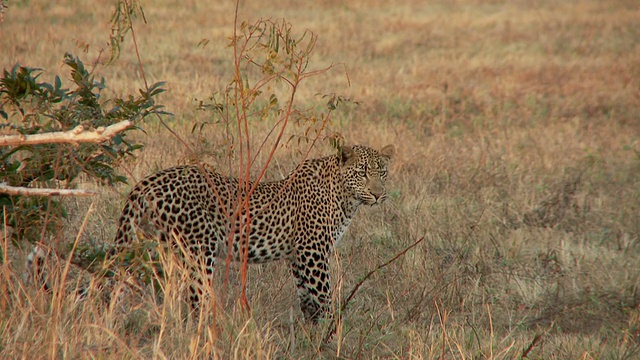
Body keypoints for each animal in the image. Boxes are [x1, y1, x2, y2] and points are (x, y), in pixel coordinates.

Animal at [114, 143, 396, 320]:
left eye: (382, 172)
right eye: (362, 173)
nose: (378, 194)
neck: (346, 198)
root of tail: (145, 183)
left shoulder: (297, 257)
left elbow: (307, 301)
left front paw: (313, 336)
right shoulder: (312, 252)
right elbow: (323, 297)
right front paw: (332, 333)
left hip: (151, 249)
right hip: (197, 251)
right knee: (196, 298)